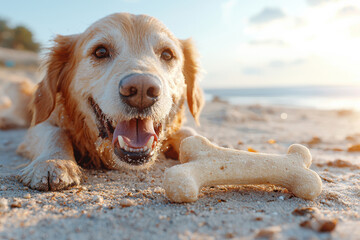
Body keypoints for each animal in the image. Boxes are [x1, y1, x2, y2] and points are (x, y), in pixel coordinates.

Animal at [13, 13, 202, 191]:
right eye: (101, 52)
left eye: (167, 54)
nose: (141, 90)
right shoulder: (40, 125)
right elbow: (55, 133)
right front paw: (53, 162)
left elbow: (189, 132)